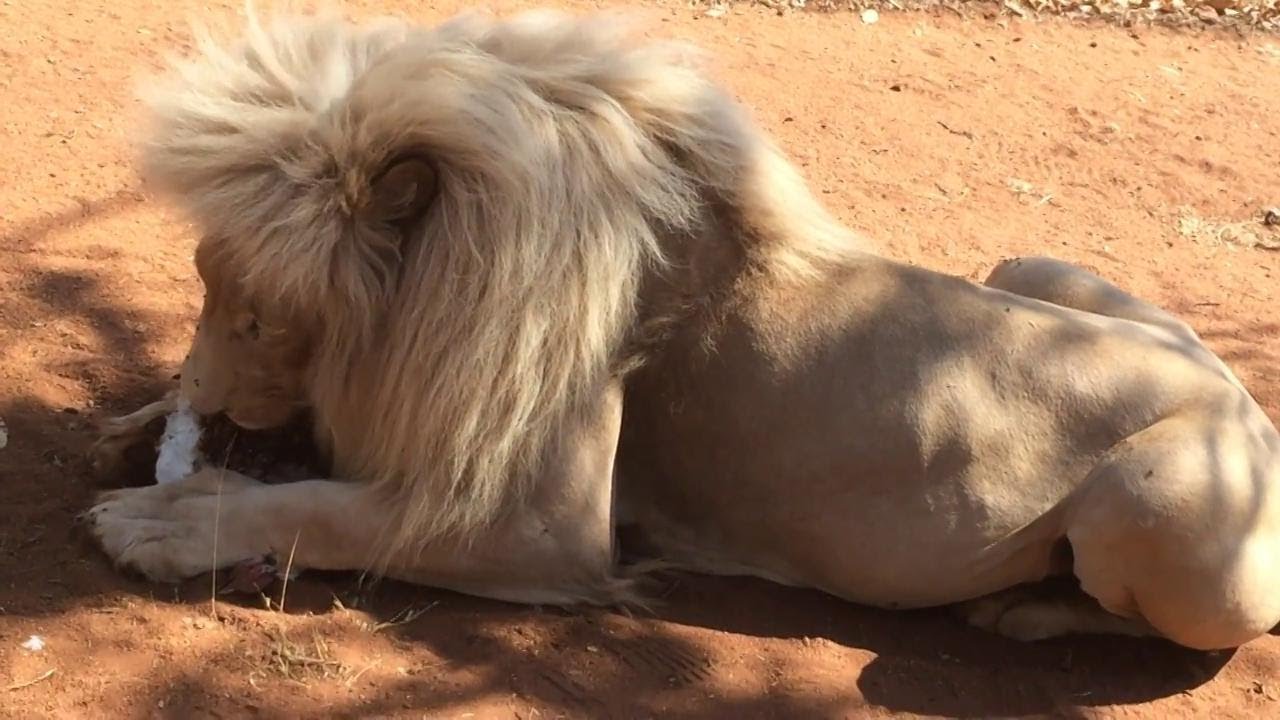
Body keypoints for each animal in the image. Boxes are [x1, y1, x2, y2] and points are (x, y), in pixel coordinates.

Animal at [84, 7, 1280, 651]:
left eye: (259, 315)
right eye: (203, 287)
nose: (201, 397)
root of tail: (1245, 405)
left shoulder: (543, 529)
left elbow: (324, 511)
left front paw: (164, 519)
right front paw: (139, 425)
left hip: (1159, 513)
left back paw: (1022, 611)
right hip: (1031, 267)